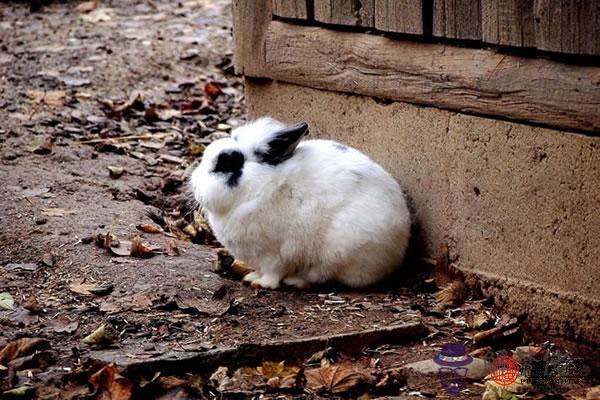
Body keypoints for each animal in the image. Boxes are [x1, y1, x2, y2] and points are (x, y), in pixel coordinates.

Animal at [192, 117, 412, 290]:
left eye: (228, 163)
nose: (194, 187)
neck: (258, 186)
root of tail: (398, 252)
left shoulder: (276, 253)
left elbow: (272, 271)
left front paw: (261, 284)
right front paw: (251, 276)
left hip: (338, 252)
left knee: (321, 275)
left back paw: (295, 281)